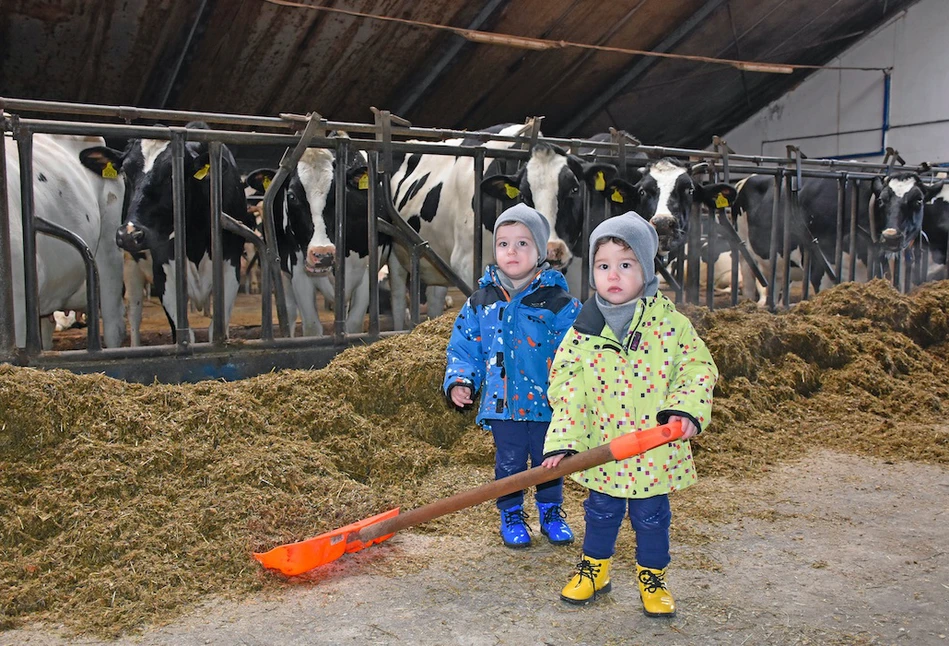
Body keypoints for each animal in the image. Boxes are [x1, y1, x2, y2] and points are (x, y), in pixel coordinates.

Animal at [79, 122, 252, 344]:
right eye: (125, 172)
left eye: (172, 174)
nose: (129, 235)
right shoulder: (163, 271)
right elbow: (183, 333)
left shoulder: (231, 265)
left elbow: (217, 329)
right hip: (130, 265)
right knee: (134, 314)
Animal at [244, 145, 386, 340]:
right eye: (291, 196)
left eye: (341, 194)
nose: (323, 254)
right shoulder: (298, 273)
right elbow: (312, 328)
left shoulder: (367, 270)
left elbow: (354, 324)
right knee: (289, 311)